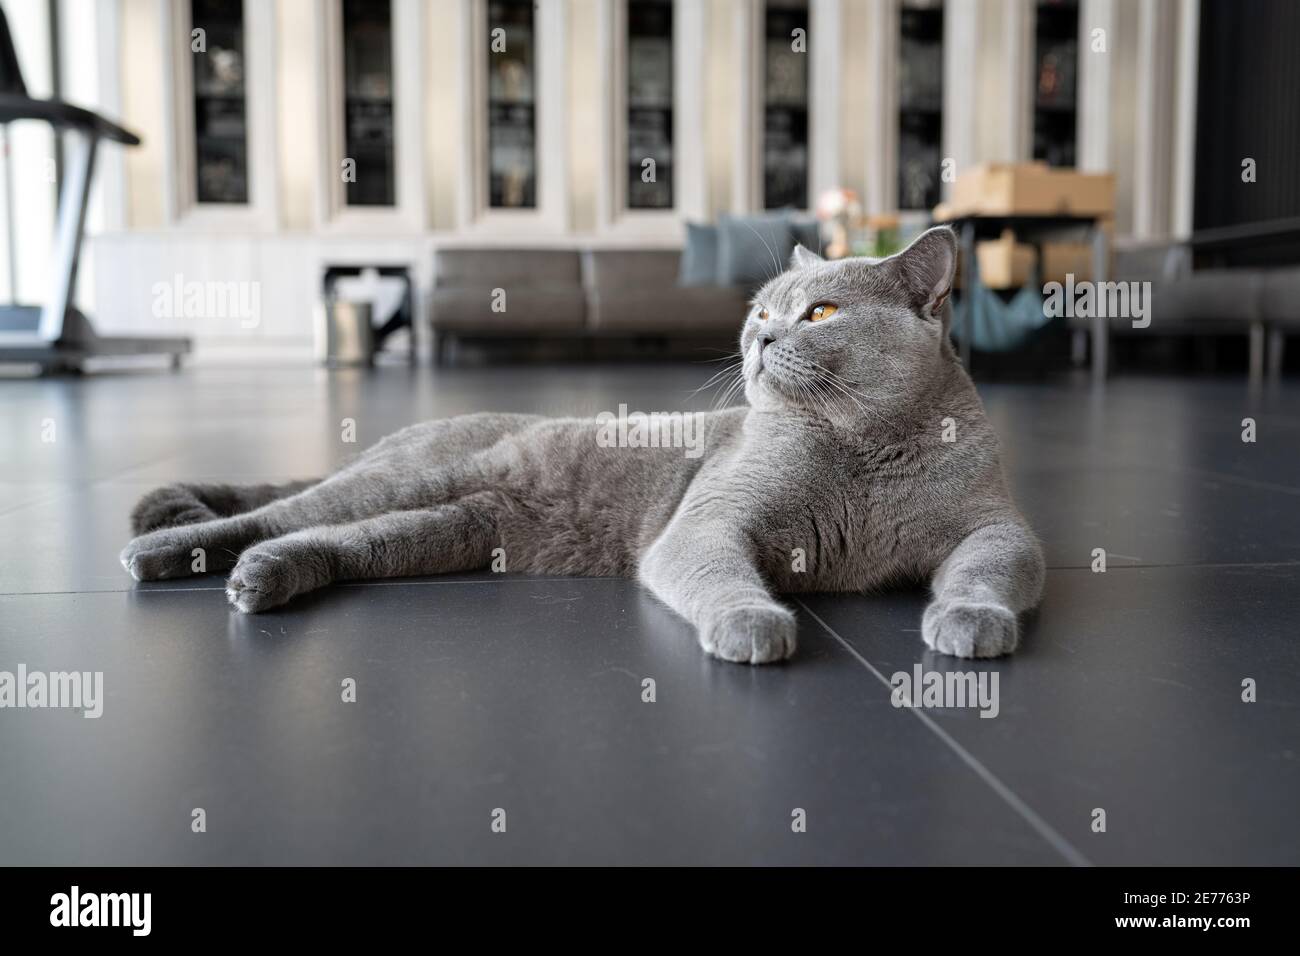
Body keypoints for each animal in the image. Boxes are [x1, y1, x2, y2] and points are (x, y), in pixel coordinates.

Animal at [122, 230, 1045, 665]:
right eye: (759, 309)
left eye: (819, 312)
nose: (758, 339)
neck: (863, 453)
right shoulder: (706, 524)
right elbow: (719, 573)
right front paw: (752, 622)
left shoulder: (1000, 526)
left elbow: (991, 567)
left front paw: (969, 621)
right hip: (408, 482)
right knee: (278, 512)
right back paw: (164, 553)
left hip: (454, 527)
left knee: (327, 539)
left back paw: (261, 581)